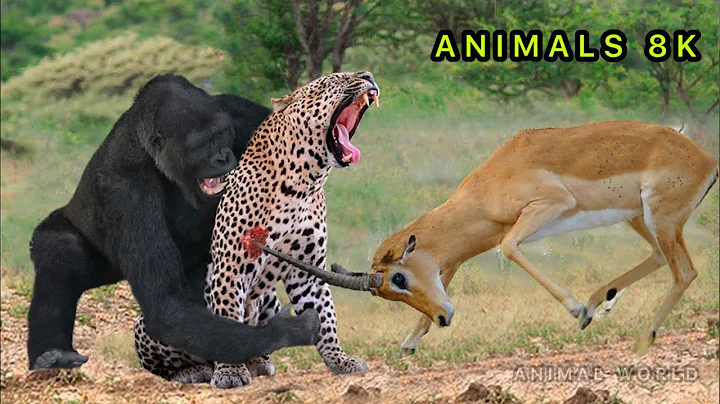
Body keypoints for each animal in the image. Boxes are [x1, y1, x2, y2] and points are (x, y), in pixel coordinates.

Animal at [275, 120, 718, 357]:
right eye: (387, 291)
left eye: (398, 277)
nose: (444, 318)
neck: (485, 190)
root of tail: (708, 160)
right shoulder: (458, 255)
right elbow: (450, 272)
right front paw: (410, 343)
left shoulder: (550, 205)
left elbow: (508, 248)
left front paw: (576, 310)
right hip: (640, 219)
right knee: (663, 260)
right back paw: (601, 303)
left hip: (658, 218)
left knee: (685, 272)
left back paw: (637, 339)